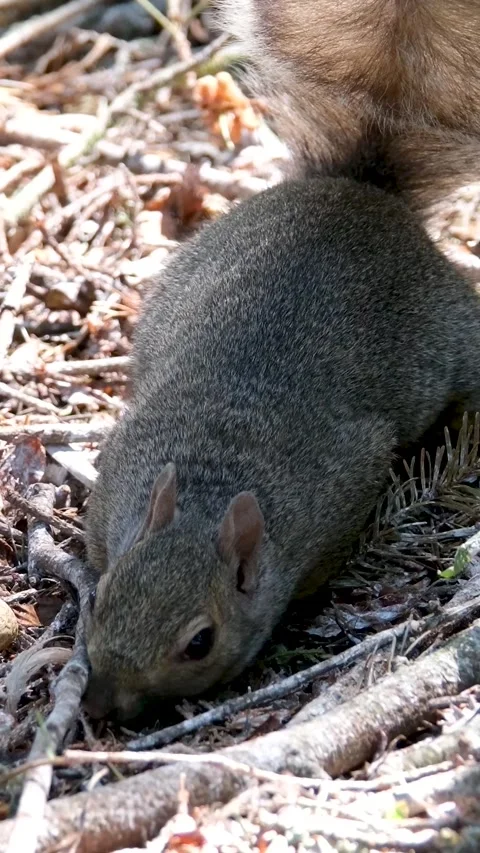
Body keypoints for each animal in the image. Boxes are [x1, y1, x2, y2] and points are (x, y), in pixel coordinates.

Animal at [84, 176, 480, 719]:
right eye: (102, 596)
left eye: (200, 643)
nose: (98, 703)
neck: (210, 490)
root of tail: (359, 189)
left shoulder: (341, 490)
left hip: (457, 336)